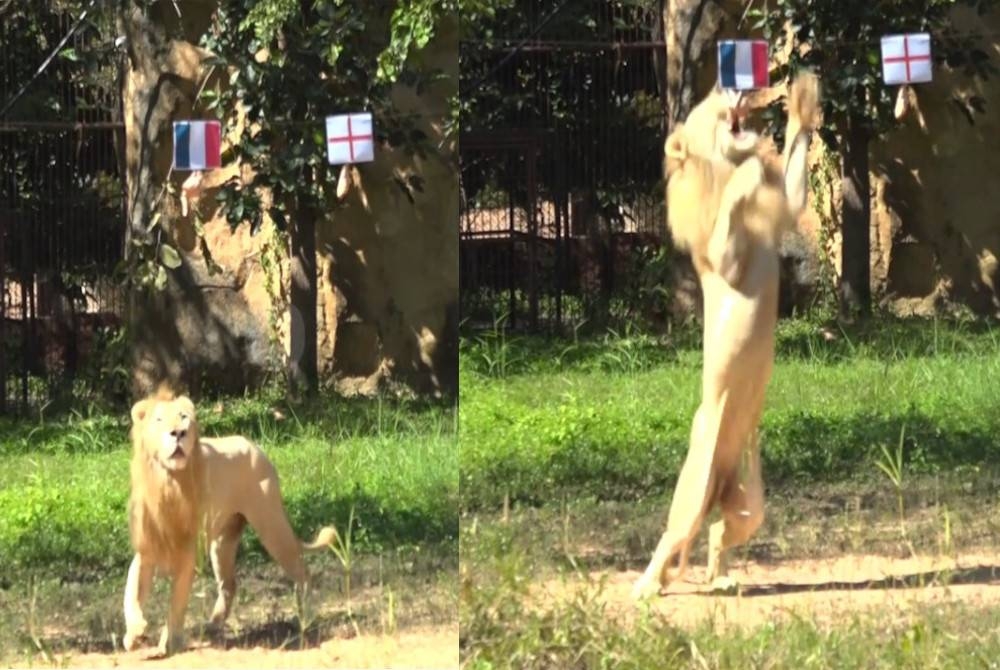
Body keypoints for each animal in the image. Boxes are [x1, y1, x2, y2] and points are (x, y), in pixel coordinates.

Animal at [632, 73, 820, 604]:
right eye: (709, 103)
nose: (727, 86)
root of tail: (718, 481)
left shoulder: (785, 212)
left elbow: (791, 186)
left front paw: (801, 104)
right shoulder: (723, 259)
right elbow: (736, 196)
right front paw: (752, 164)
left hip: (750, 499)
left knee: (717, 531)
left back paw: (723, 578)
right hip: (694, 482)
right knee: (672, 535)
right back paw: (645, 587)